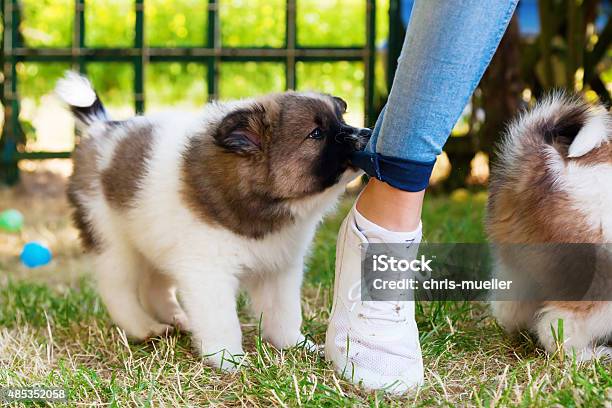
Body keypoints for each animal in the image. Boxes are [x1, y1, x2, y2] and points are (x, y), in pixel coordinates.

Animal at [55, 71, 368, 368]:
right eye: (316, 133)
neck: (262, 204)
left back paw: (178, 318)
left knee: (155, 287)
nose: (365, 133)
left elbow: (284, 313)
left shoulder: (278, 269)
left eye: (341, 118)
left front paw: (294, 345)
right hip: (113, 242)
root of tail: (100, 128)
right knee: (117, 290)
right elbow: (221, 320)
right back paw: (144, 327)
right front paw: (229, 359)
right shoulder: (208, 272)